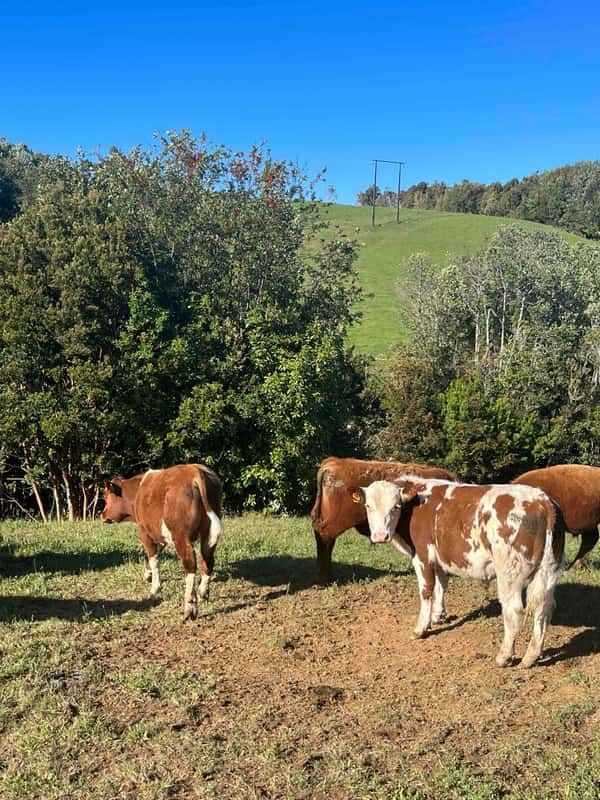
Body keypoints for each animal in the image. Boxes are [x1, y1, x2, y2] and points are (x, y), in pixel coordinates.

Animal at [101, 462, 223, 620]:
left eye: (105, 497)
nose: (102, 515)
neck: (137, 492)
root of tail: (195, 471)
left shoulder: (145, 532)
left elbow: (154, 558)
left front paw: (155, 587)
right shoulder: (159, 534)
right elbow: (155, 555)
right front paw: (148, 575)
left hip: (180, 536)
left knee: (190, 564)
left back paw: (189, 607)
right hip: (207, 534)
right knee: (208, 559)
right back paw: (203, 592)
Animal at [350, 476, 564, 668]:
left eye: (395, 507)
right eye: (368, 506)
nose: (380, 536)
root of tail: (541, 499)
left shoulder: (422, 555)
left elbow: (426, 590)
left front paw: (421, 628)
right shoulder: (440, 558)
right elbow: (441, 585)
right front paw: (437, 616)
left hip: (510, 571)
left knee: (513, 610)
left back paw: (504, 657)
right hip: (548, 571)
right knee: (544, 608)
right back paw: (531, 656)